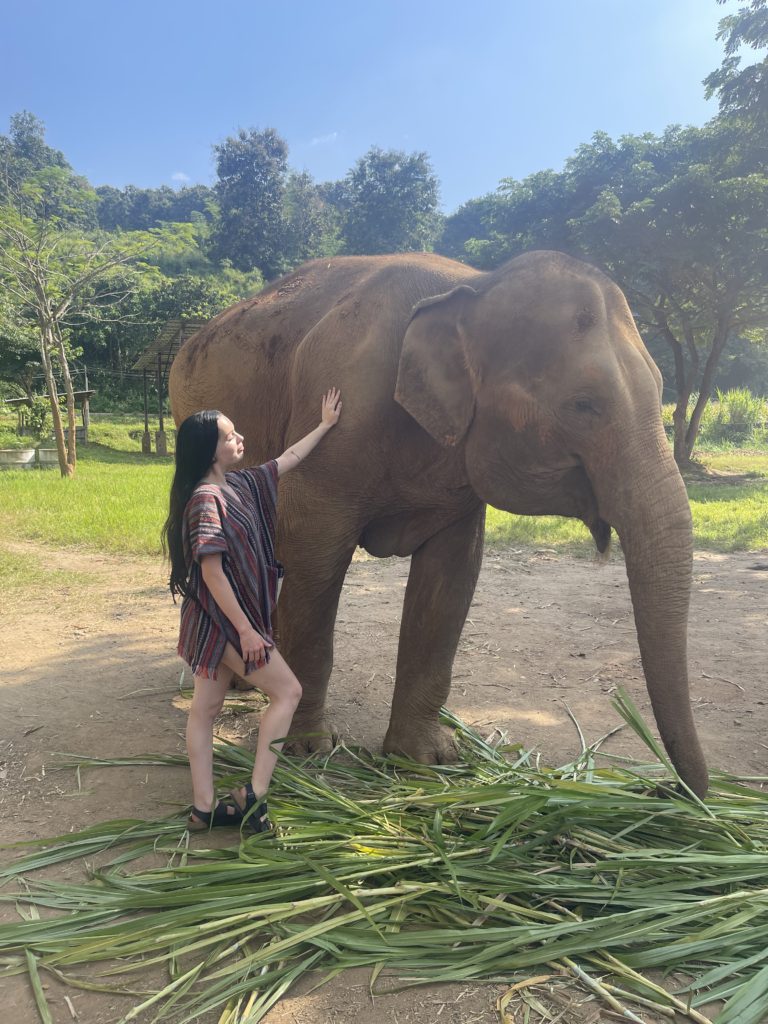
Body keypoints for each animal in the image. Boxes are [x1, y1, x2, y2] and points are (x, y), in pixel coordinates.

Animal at [167, 249, 708, 798]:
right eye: (584, 405)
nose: (664, 790)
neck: (475, 286)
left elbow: (450, 579)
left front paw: (428, 760)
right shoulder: (338, 429)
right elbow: (314, 559)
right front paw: (306, 751)